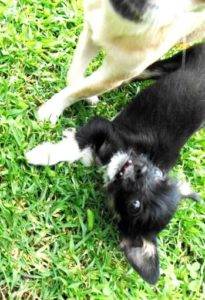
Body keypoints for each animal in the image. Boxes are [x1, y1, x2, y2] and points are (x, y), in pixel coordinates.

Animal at [26, 44, 205, 284]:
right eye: (157, 177)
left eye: (135, 206)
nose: (137, 169)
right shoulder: (104, 126)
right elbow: (76, 144)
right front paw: (44, 154)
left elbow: (82, 151)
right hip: (174, 61)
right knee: (132, 74)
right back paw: (90, 93)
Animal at [37, 0, 205, 124]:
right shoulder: (91, 32)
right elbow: (75, 76)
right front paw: (83, 95)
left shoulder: (115, 74)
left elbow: (83, 89)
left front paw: (51, 108)